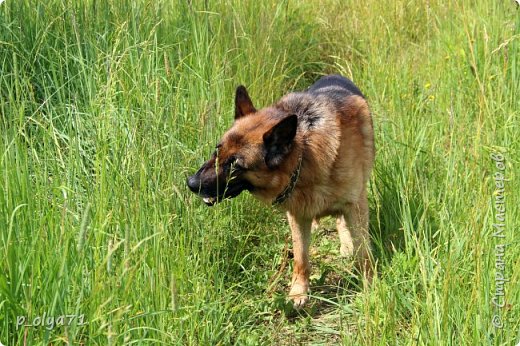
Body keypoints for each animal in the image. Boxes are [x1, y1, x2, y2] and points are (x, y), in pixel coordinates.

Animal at [187, 74, 374, 306]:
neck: (304, 154)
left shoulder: (355, 206)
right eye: (217, 151)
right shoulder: (297, 215)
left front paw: (368, 285)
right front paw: (298, 292)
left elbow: (363, 252)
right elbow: (301, 257)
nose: (191, 183)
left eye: (235, 165)